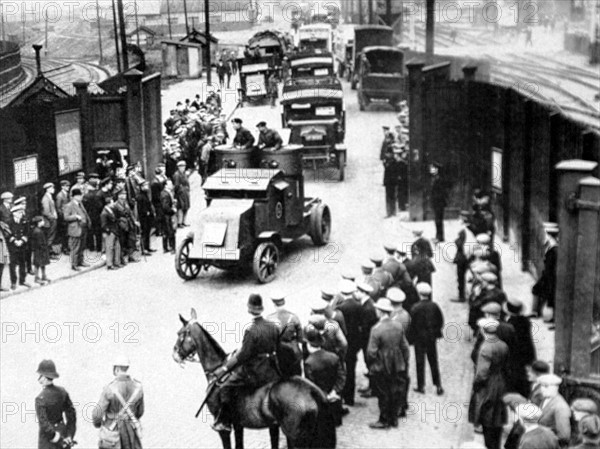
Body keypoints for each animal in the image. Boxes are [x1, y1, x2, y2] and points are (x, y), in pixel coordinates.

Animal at [171, 308, 336, 448]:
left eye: (179, 333)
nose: (175, 355)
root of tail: (312, 392)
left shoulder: (224, 430)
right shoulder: (239, 425)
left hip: (297, 438)